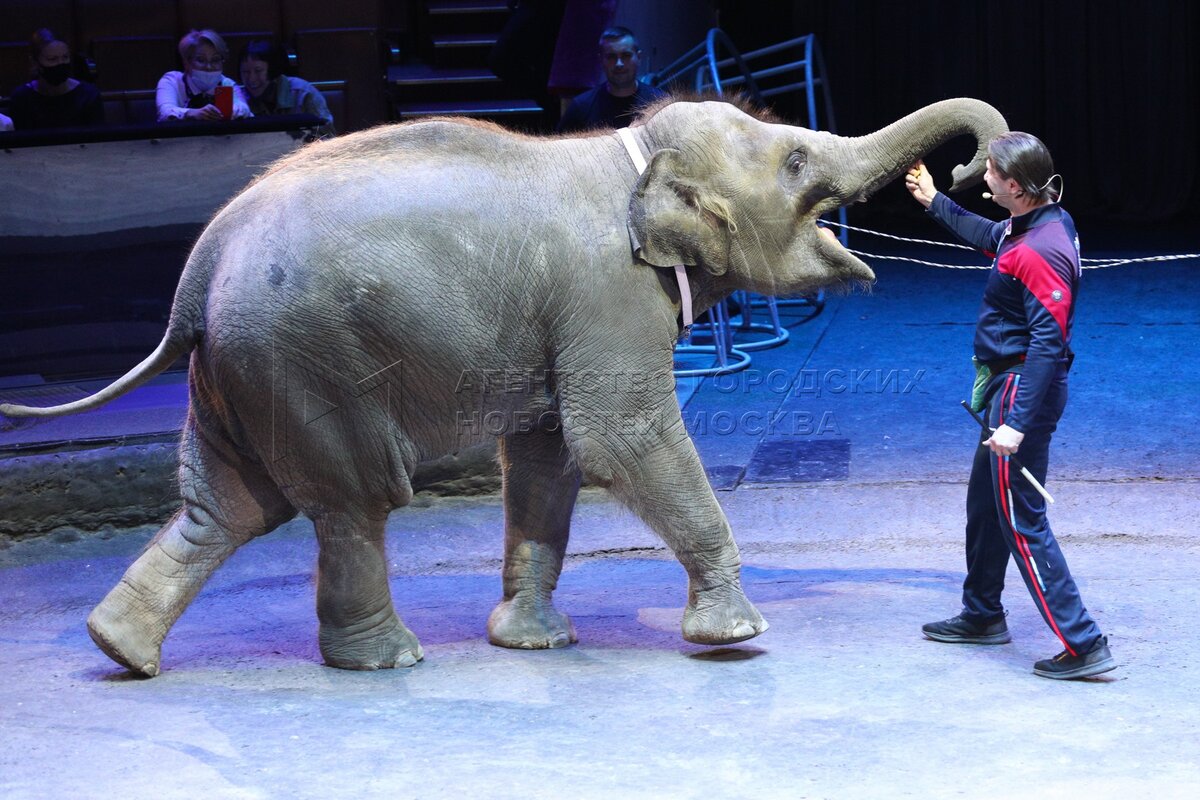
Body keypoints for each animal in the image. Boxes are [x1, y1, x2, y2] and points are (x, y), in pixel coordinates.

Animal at [1, 97, 1008, 676]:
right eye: (795, 162)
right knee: (351, 500)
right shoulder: (608, 295)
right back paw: (385, 662)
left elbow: (547, 459)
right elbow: (621, 438)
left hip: (242, 367)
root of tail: (196, 269)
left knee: (226, 506)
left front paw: (532, 643)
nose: (964, 170)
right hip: (305, 357)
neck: (629, 151)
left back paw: (120, 651)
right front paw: (732, 638)